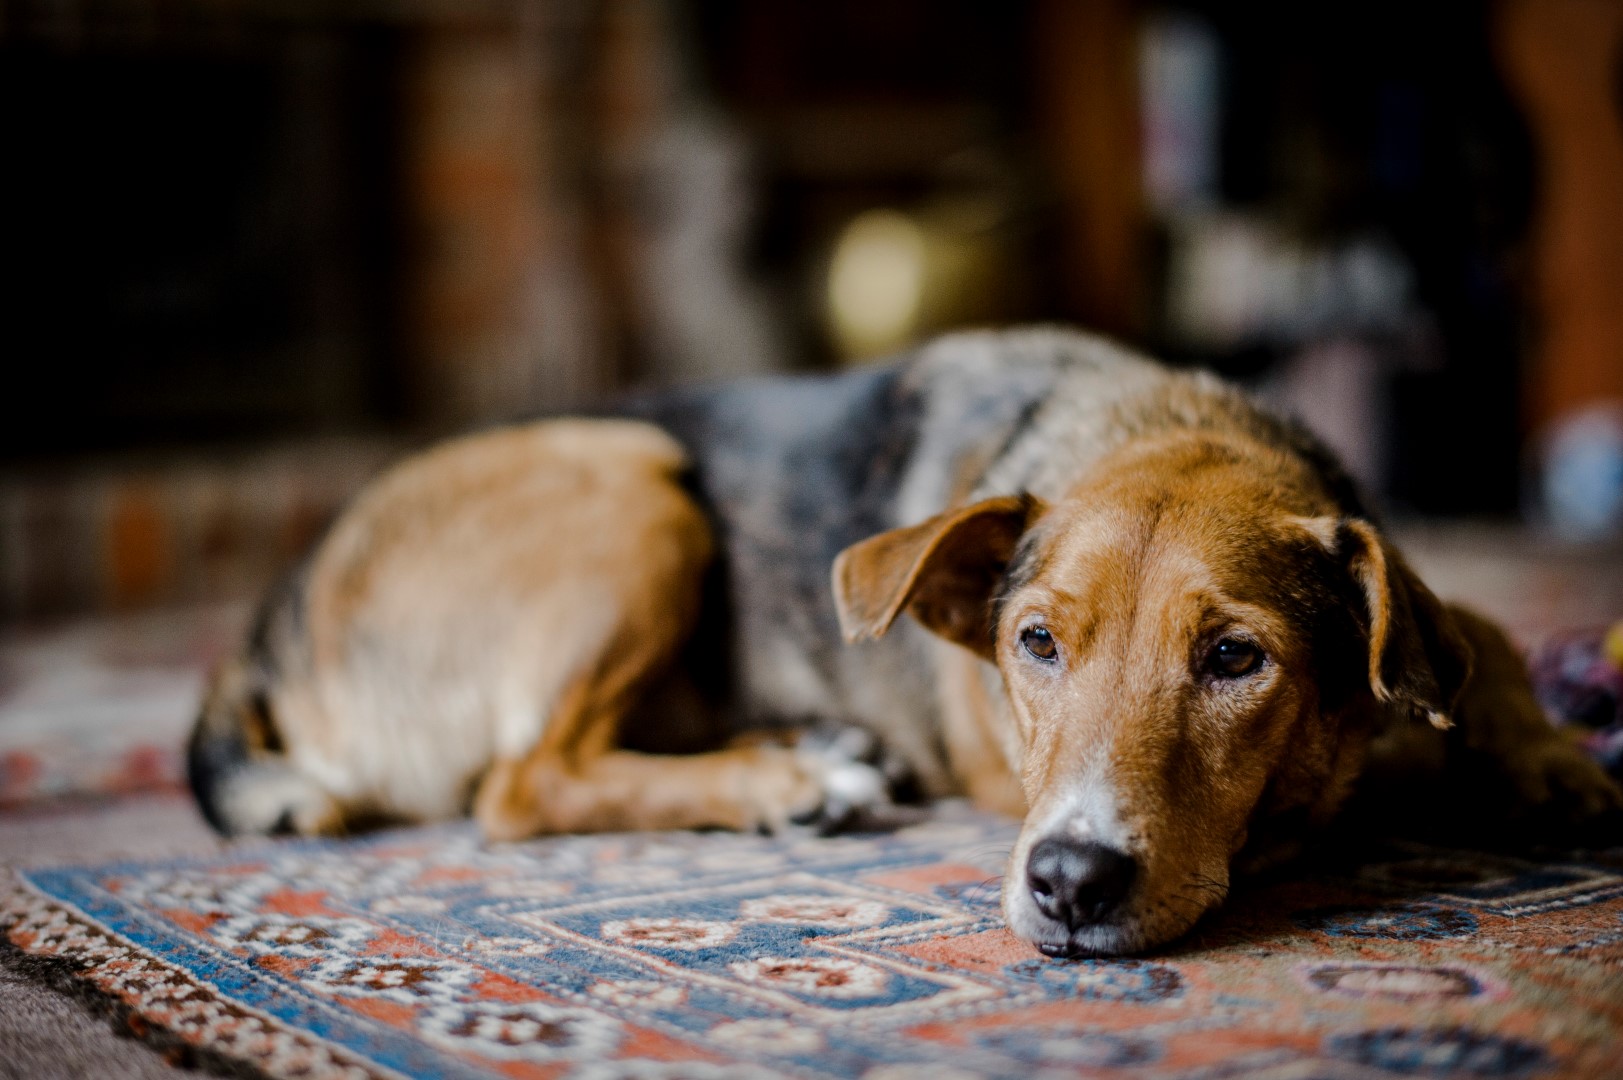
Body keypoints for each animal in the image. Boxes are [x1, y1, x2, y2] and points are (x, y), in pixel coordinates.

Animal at [186, 326, 1610, 954]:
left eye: (1235, 660)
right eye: (1035, 643)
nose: (1069, 886)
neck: (1160, 423)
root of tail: (264, 623)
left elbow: (1479, 629)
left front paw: (1544, 759)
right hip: (630, 477)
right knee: (523, 780)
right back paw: (794, 780)